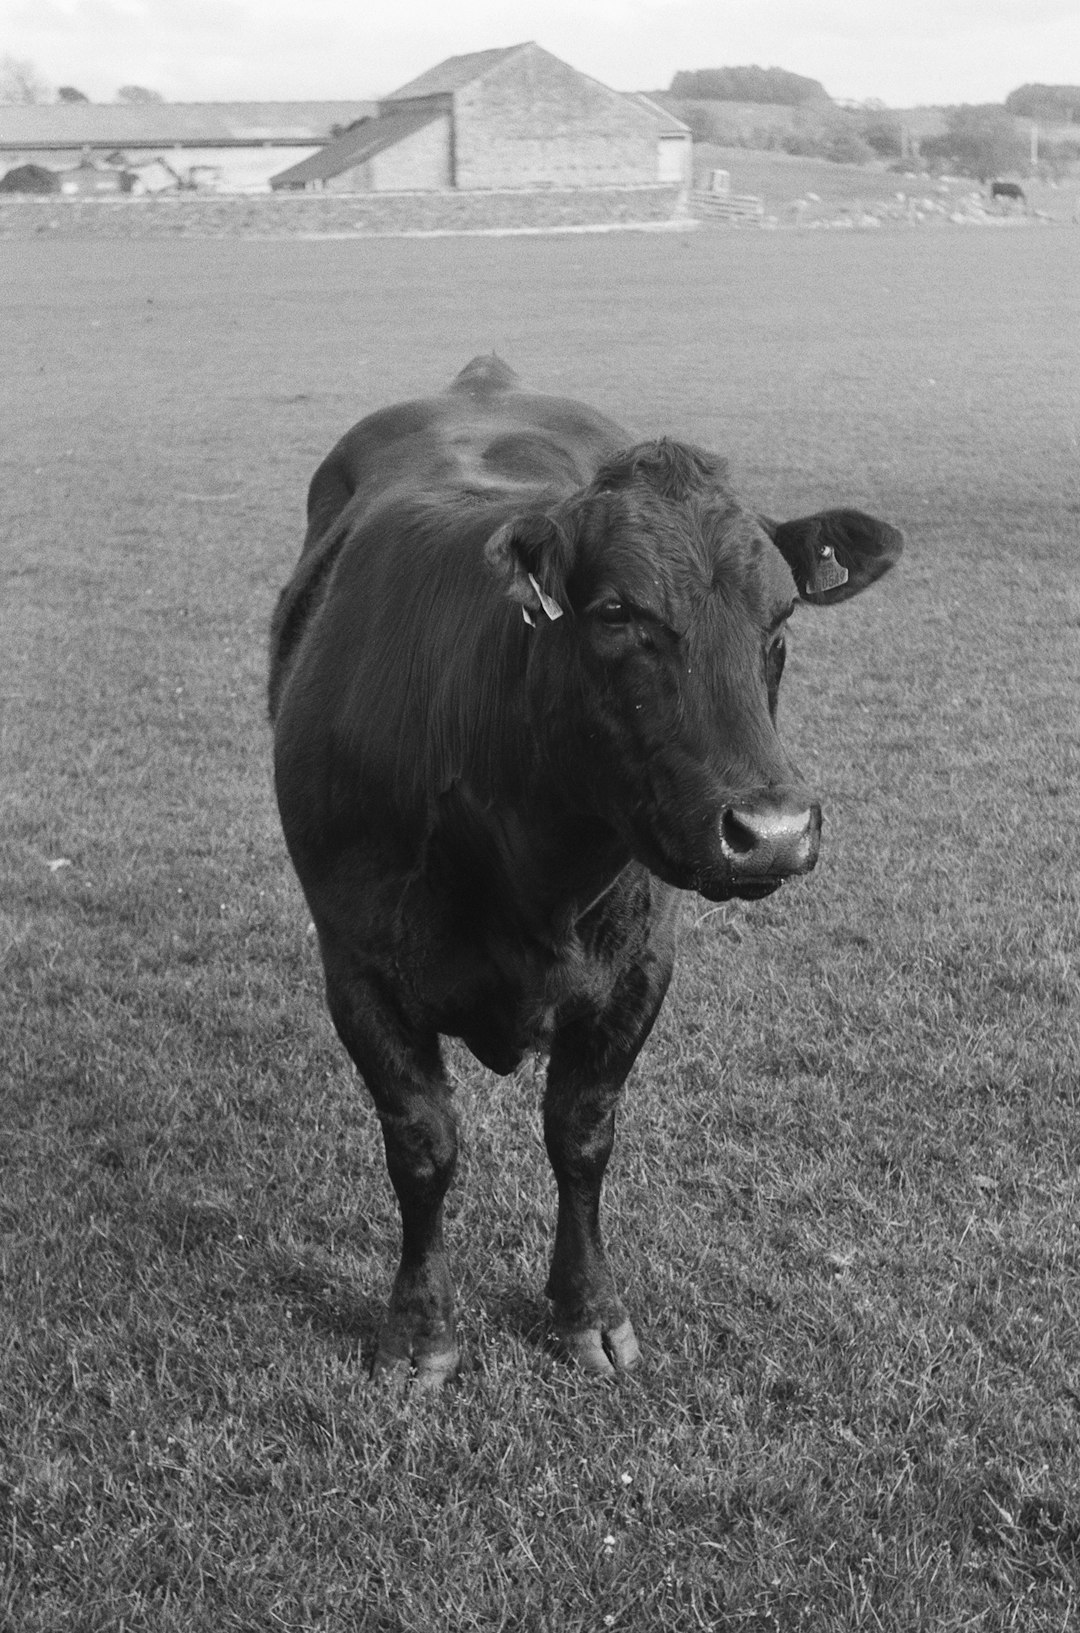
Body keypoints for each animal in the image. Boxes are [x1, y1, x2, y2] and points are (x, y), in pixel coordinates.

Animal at [271, 354, 901, 1378]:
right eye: (616, 612)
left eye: (782, 614)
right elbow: (423, 1145)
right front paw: (419, 1330)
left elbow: (581, 1135)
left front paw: (588, 1309)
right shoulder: (356, 964)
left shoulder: (639, 964)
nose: (771, 828)